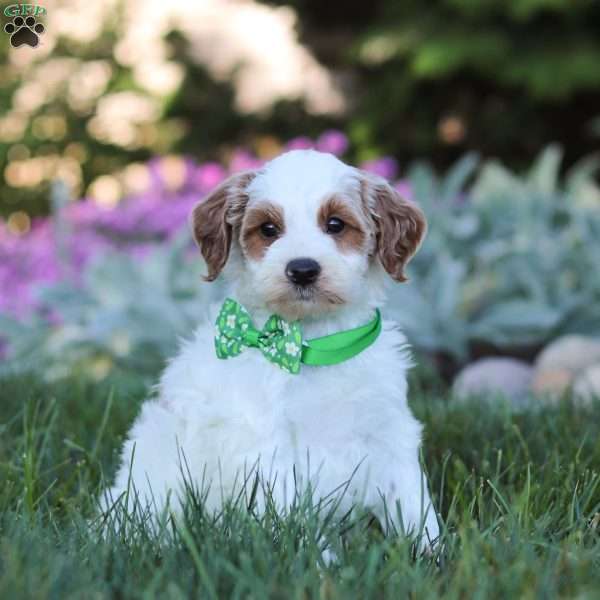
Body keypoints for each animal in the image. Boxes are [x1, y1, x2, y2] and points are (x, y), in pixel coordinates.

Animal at [103, 148, 440, 548]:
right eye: (268, 229)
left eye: (336, 224)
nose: (303, 270)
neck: (314, 343)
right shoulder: (270, 450)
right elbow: (294, 518)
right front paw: (317, 559)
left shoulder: (390, 431)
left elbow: (415, 504)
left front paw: (431, 554)